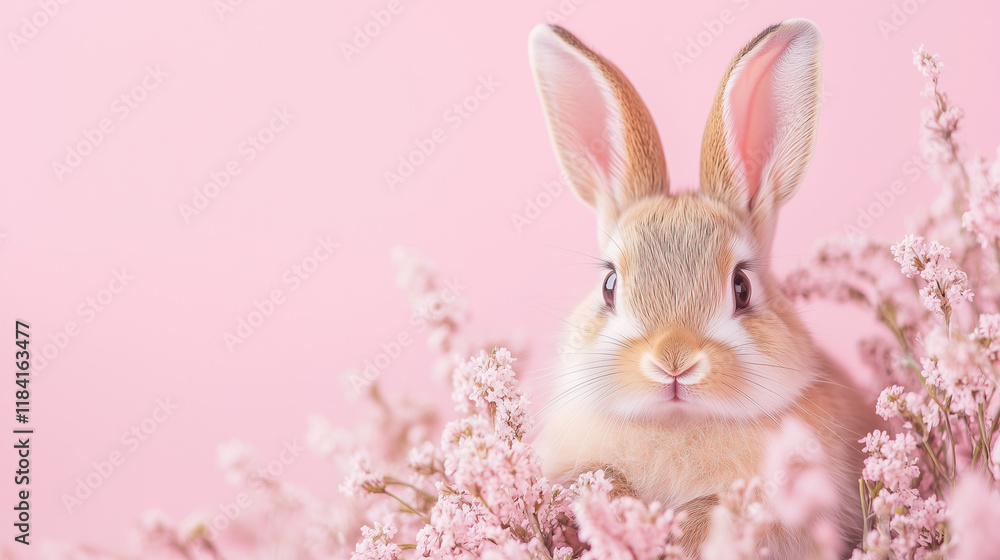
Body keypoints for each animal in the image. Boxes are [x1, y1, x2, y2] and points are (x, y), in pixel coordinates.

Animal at [528, 19, 875, 558]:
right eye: (609, 285)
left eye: (742, 287)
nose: (673, 361)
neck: (678, 425)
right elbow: (598, 475)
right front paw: (623, 511)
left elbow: (716, 510)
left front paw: (673, 531)